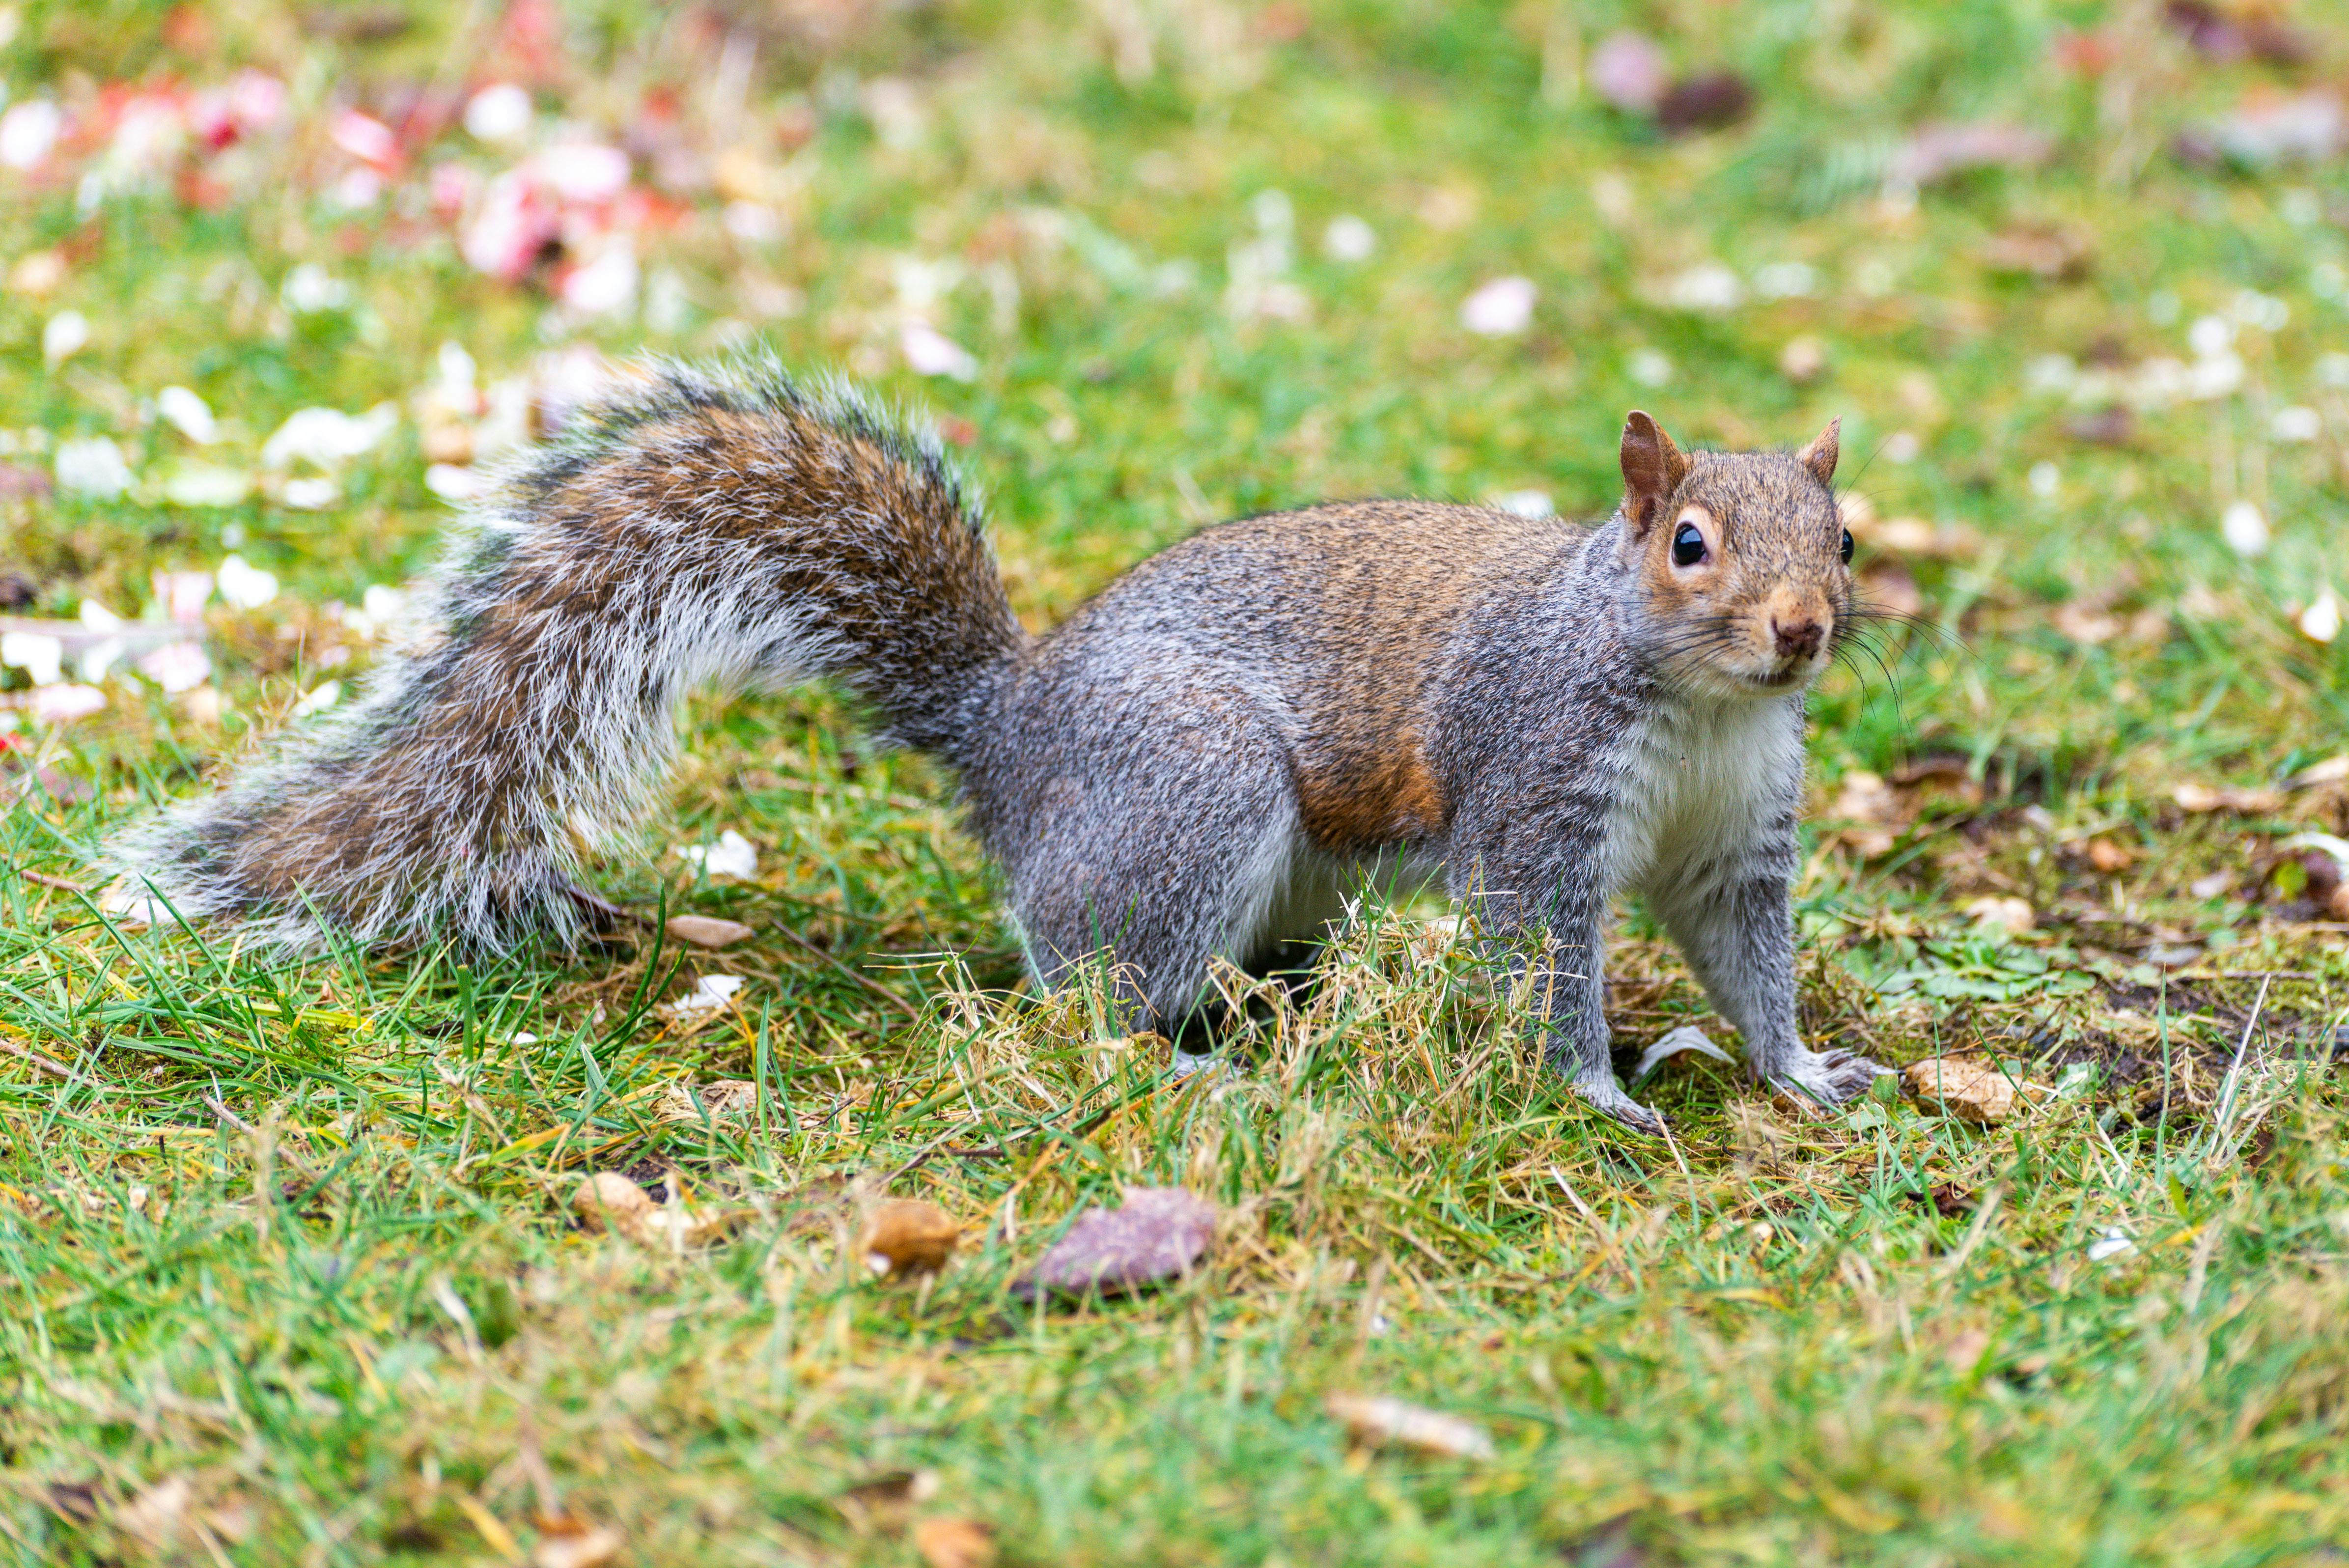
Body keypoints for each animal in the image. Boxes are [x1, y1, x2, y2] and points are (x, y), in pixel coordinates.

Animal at [106, 359, 1891, 1130]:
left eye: (1847, 539)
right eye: (1688, 546)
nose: (1803, 630)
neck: (1706, 711)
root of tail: (1010, 739)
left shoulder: (1736, 841)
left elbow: (1748, 962)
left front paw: (1801, 1073)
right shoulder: (1538, 796)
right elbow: (1545, 962)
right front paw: (1596, 1093)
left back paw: (1273, 1023)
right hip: (1193, 791)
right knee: (1086, 993)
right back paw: (1193, 1065)